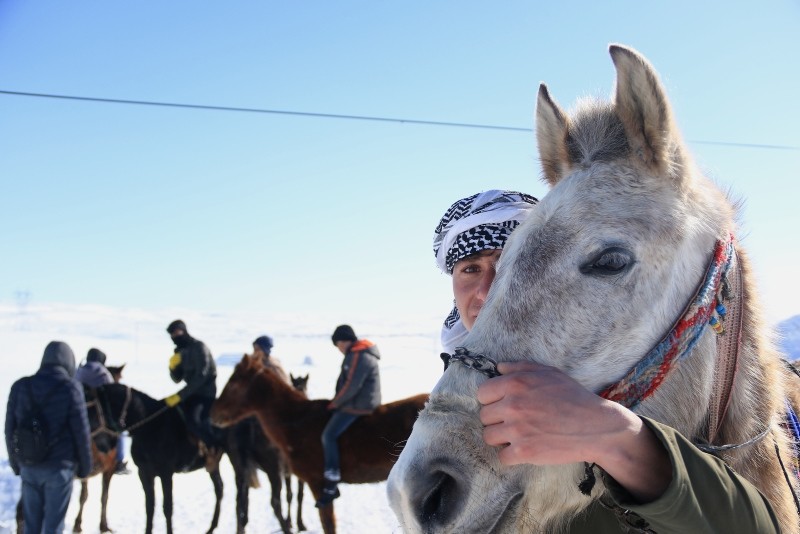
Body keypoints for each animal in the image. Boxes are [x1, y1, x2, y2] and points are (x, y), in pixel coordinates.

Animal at [95, 382, 224, 534]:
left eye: (96, 411)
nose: (102, 446)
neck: (150, 428)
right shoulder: (144, 473)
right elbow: (149, 507)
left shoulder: (166, 473)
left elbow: (167, 508)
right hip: (214, 465)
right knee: (219, 489)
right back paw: (212, 527)